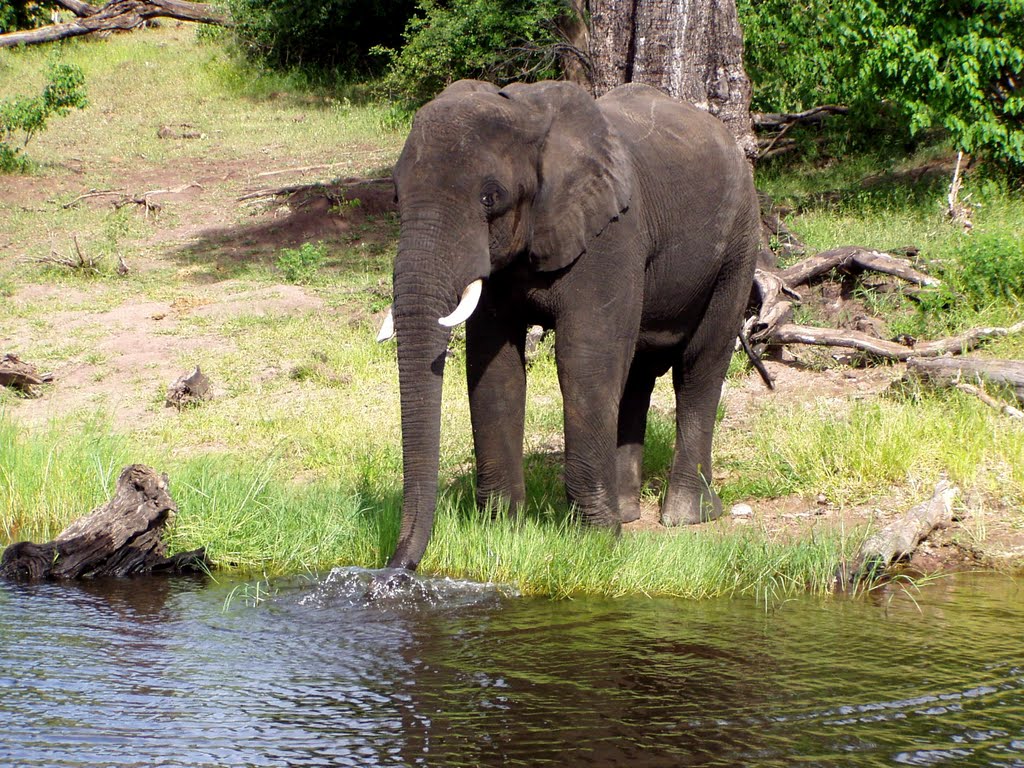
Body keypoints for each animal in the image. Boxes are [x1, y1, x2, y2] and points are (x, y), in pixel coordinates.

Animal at [378, 78, 761, 573]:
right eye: (395, 196)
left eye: (490, 198)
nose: (397, 569)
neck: (526, 113)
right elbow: (494, 367)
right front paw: (502, 530)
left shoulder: (612, 234)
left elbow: (585, 359)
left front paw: (596, 541)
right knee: (637, 373)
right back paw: (628, 511)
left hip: (739, 243)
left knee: (700, 365)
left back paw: (684, 516)